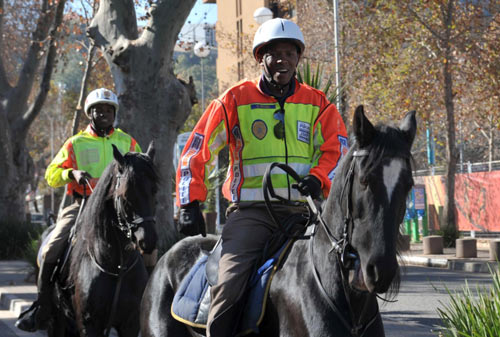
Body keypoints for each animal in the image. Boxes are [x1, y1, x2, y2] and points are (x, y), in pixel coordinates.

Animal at [48, 142, 158, 336]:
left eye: (154, 190)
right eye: (125, 195)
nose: (148, 240)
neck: (117, 267)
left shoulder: (130, 324)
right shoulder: (88, 325)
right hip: (58, 321)